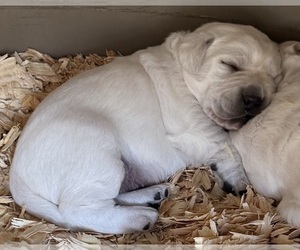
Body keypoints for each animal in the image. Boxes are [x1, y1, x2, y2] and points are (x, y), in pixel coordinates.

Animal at [8, 22, 282, 233]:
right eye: (230, 65)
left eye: (274, 79)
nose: (254, 100)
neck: (183, 73)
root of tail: (16, 179)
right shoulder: (193, 124)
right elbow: (226, 145)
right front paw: (239, 180)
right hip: (97, 152)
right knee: (79, 209)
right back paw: (138, 217)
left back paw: (152, 195)